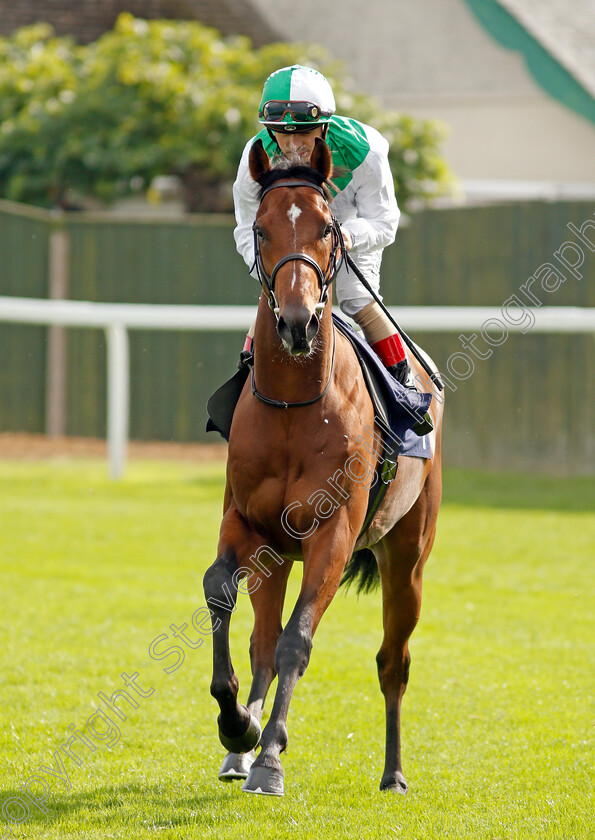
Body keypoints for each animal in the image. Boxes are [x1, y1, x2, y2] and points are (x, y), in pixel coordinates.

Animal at [204, 136, 442, 796]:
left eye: (328, 227)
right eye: (260, 229)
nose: (296, 320)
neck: (293, 408)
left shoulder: (332, 535)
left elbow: (298, 640)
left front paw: (270, 756)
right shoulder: (247, 524)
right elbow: (221, 593)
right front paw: (237, 725)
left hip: (406, 556)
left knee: (393, 662)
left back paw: (393, 772)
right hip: (276, 555)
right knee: (260, 640)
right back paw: (240, 745)